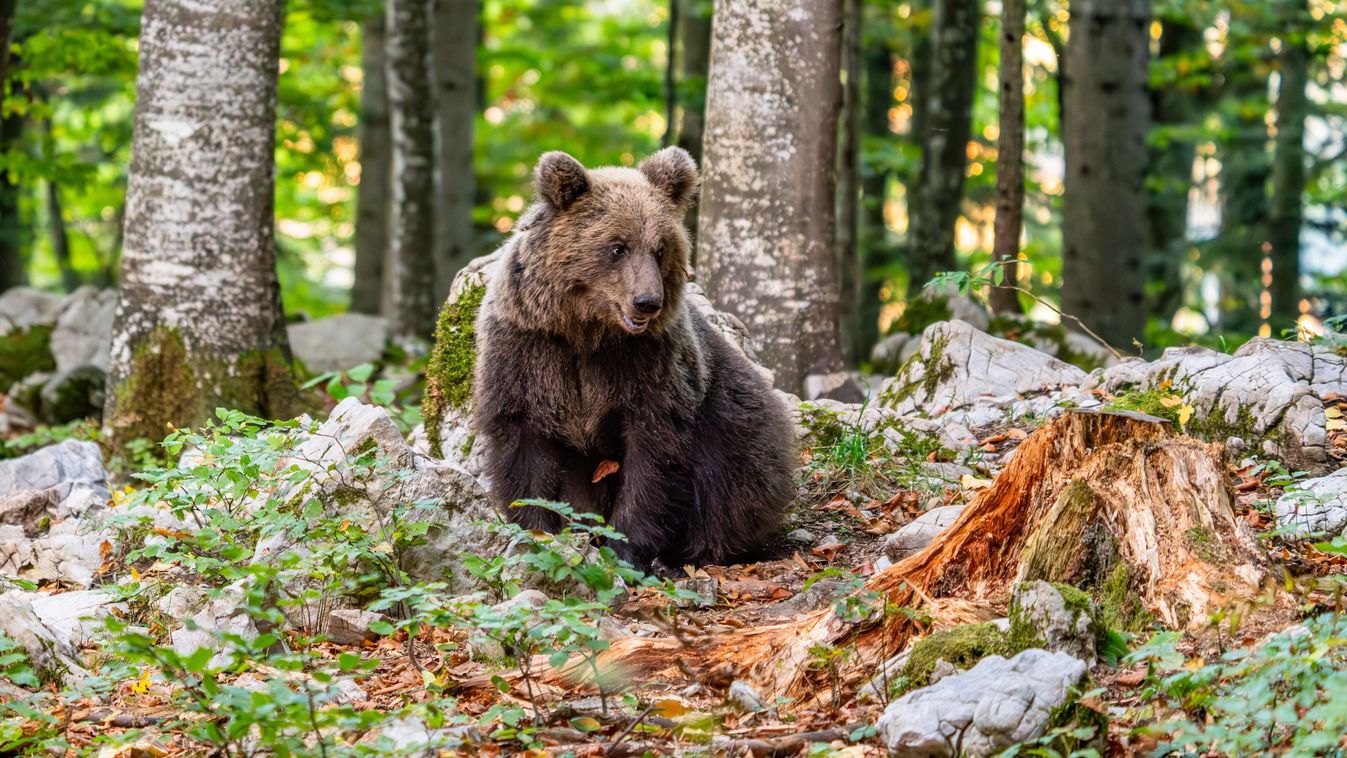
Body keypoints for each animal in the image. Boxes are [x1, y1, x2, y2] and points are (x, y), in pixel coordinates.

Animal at [471, 146, 792, 570]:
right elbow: (523, 449)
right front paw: (536, 532)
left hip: (735, 417)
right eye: (617, 247)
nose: (647, 301)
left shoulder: (648, 368)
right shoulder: (529, 353)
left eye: (660, 249)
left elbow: (653, 459)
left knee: (731, 481)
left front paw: (625, 549)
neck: (587, 332)